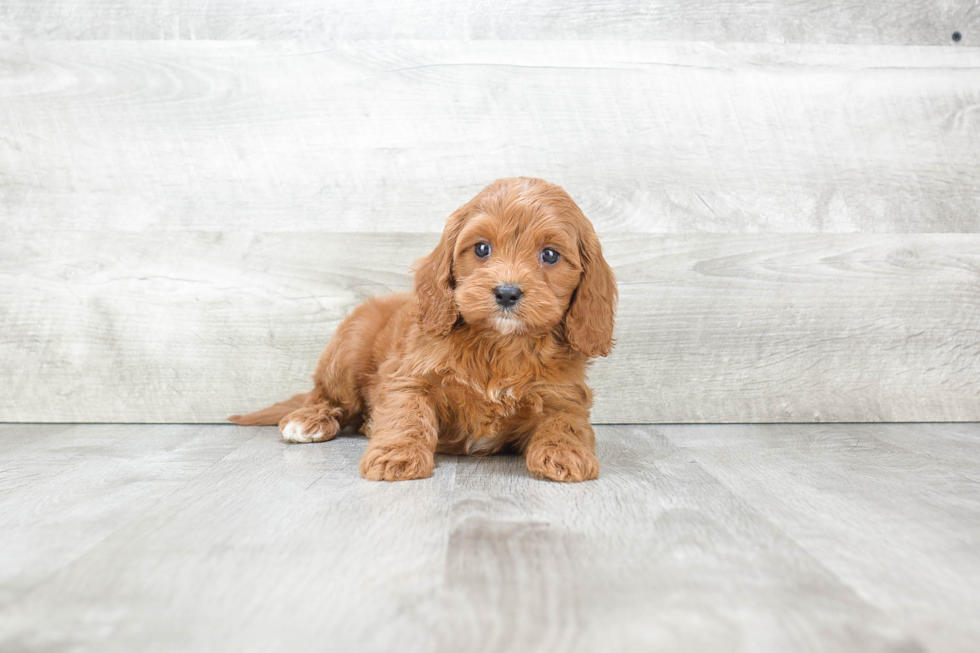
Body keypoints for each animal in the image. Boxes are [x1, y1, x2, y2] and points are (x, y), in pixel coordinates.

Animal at [228, 176, 620, 482]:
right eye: (482, 248)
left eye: (550, 255)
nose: (507, 292)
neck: (499, 345)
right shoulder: (408, 374)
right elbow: (408, 413)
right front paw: (397, 455)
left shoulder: (564, 393)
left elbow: (566, 422)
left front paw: (566, 453)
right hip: (347, 353)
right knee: (325, 396)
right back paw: (309, 420)